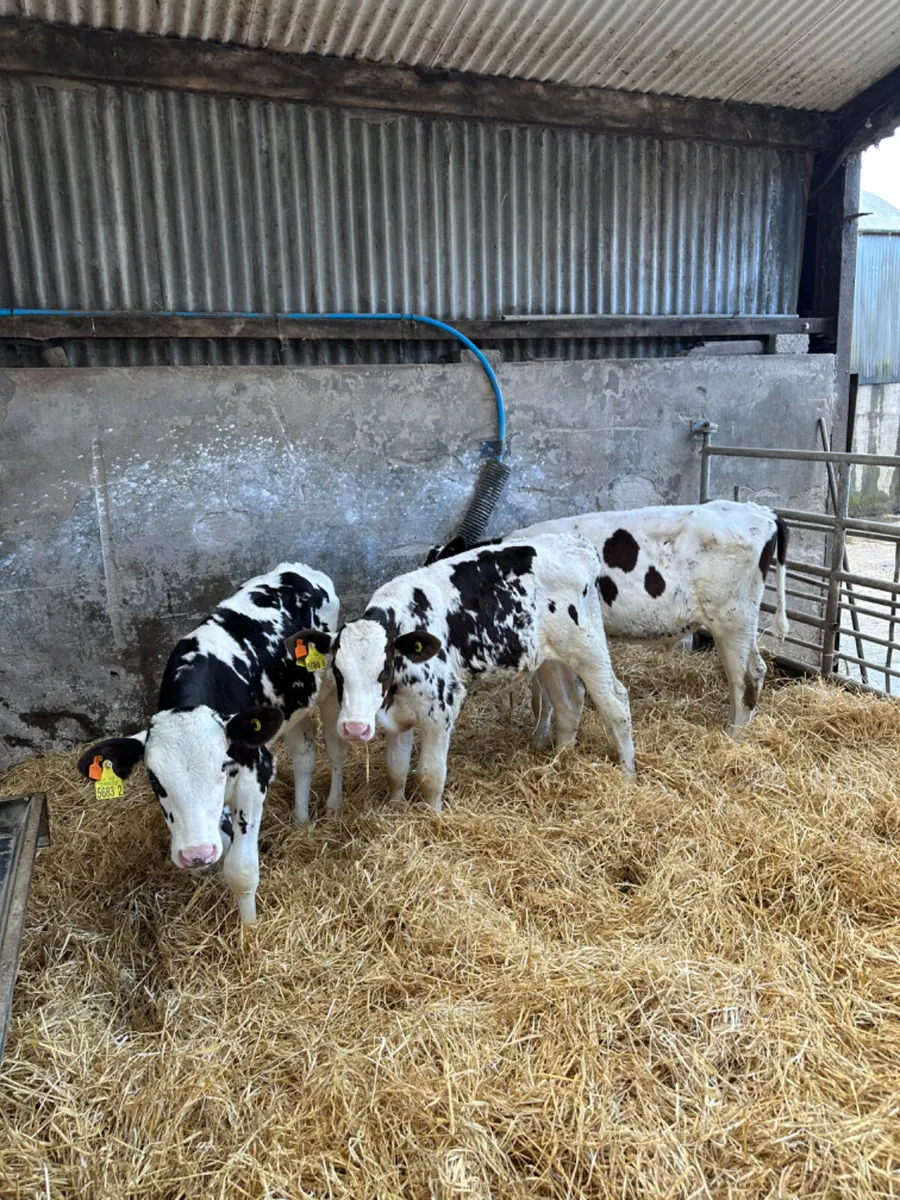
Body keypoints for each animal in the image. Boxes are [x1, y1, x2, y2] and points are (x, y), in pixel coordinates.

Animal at [77, 563, 348, 923]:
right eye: (154, 781)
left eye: (222, 767)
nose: (197, 854)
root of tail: (298, 569)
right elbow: (220, 836)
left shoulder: (253, 775)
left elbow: (241, 871)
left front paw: (249, 929)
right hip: (292, 706)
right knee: (304, 754)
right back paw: (301, 819)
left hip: (330, 685)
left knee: (334, 748)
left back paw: (333, 804)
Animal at [287, 534, 636, 815]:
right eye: (337, 669)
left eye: (383, 668)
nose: (355, 729)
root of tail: (576, 544)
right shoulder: (397, 716)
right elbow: (395, 771)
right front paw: (395, 809)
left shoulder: (440, 710)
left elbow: (430, 776)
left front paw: (433, 818)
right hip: (550, 657)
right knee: (567, 704)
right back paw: (562, 761)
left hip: (588, 647)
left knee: (616, 703)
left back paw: (628, 773)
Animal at [426, 500, 788, 740]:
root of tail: (762, 511)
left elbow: (543, 697)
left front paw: (539, 737)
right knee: (756, 669)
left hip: (732, 619)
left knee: (745, 677)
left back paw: (733, 735)